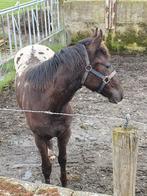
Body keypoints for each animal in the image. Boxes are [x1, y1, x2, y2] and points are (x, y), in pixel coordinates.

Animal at [14, 29, 123, 187]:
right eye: (106, 65)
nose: (120, 94)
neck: (49, 104)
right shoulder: (38, 138)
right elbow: (46, 167)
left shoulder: (65, 133)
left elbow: (63, 159)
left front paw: (64, 184)